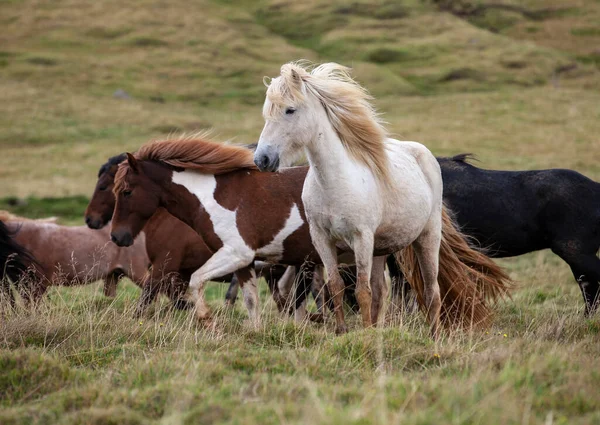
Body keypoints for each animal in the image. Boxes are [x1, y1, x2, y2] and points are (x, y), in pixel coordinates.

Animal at [253, 62, 510, 334]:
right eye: (267, 112)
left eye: (290, 110)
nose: (262, 159)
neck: (334, 183)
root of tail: (425, 155)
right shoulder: (322, 240)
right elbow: (336, 287)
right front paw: (343, 332)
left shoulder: (361, 238)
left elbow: (362, 291)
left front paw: (363, 335)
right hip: (380, 250)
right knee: (380, 290)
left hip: (427, 237)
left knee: (432, 290)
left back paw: (435, 335)